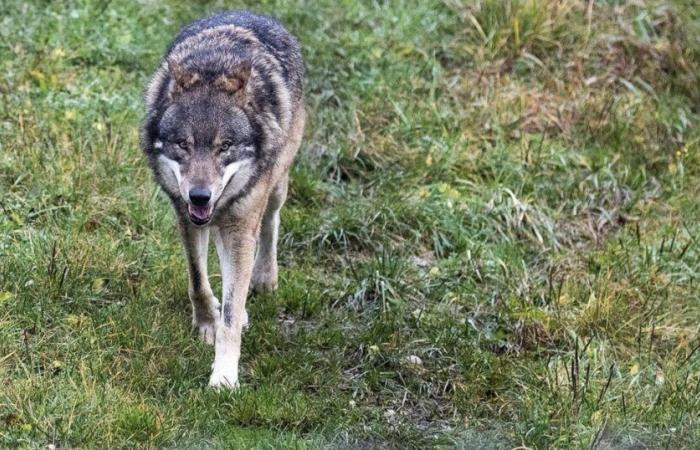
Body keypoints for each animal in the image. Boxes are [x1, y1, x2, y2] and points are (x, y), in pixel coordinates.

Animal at [141, 11, 304, 390]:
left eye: (225, 146)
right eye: (183, 145)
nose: (200, 195)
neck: (213, 67)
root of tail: (252, 13)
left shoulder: (240, 225)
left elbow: (230, 313)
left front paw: (224, 377)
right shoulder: (186, 217)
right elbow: (198, 281)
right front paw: (206, 324)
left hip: (274, 188)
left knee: (270, 225)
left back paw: (264, 278)